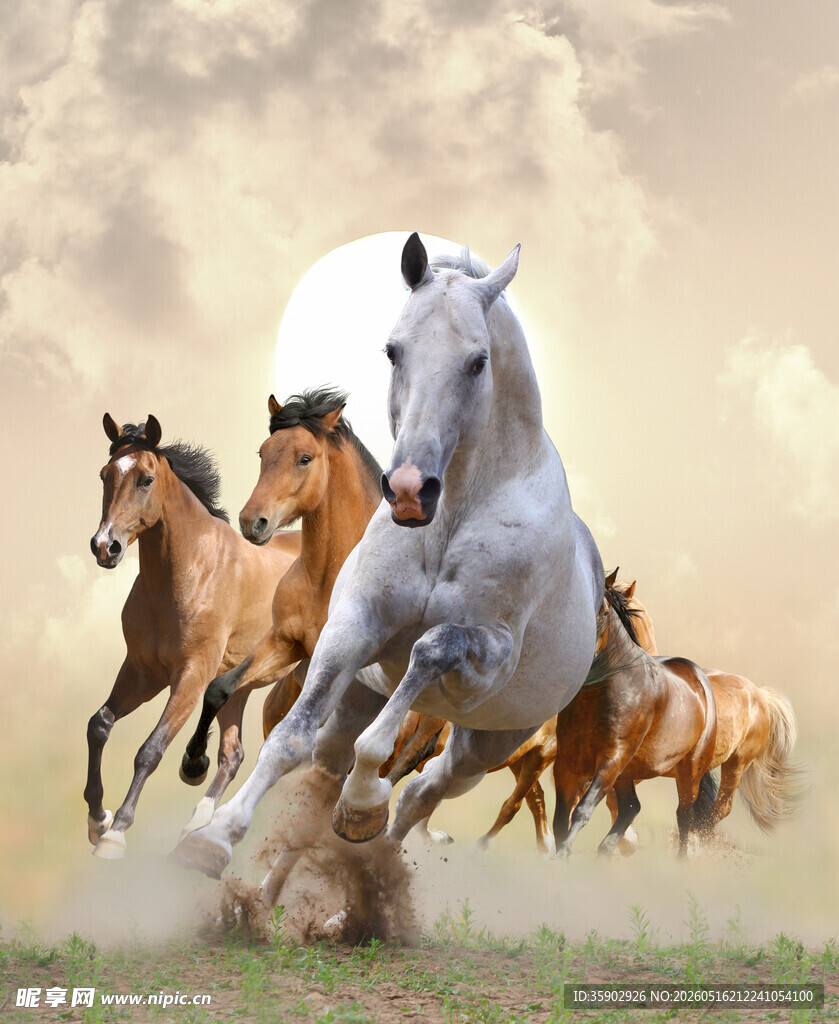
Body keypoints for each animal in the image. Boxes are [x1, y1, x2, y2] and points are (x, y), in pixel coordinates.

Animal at [85, 415, 300, 858]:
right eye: (104, 475)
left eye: (146, 479)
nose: (104, 546)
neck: (189, 571)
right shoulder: (142, 672)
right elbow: (99, 724)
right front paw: (98, 820)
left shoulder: (191, 676)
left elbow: (150, 749)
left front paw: (116, 832)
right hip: (243, 686)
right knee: (233, 754)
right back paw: (197, 826)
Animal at [178, 388, 384, 837]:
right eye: (263, 452)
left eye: (305, 458)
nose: (251, 522)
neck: (328, 577)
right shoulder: (285, 643)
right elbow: (219, 688)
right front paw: (193, 763)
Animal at [551, 584, 718, 858]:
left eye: (603, 611)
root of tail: (699, 678)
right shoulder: (567, 761)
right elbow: (560, 818)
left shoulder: (612, 759)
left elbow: (582, 810)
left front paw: (563, 854)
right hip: (626, 773)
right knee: (631, 807)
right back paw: (604, 852)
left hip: (689, 770)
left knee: (684, 816)